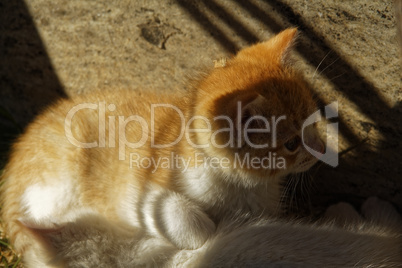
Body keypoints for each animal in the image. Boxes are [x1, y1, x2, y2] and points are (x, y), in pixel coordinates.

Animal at [1, 28, 324, 266]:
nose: (321, 150)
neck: (240, 186)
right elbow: (174, 212)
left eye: (313, 121)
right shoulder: (140, 192)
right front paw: (212, 233)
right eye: (292, 143)